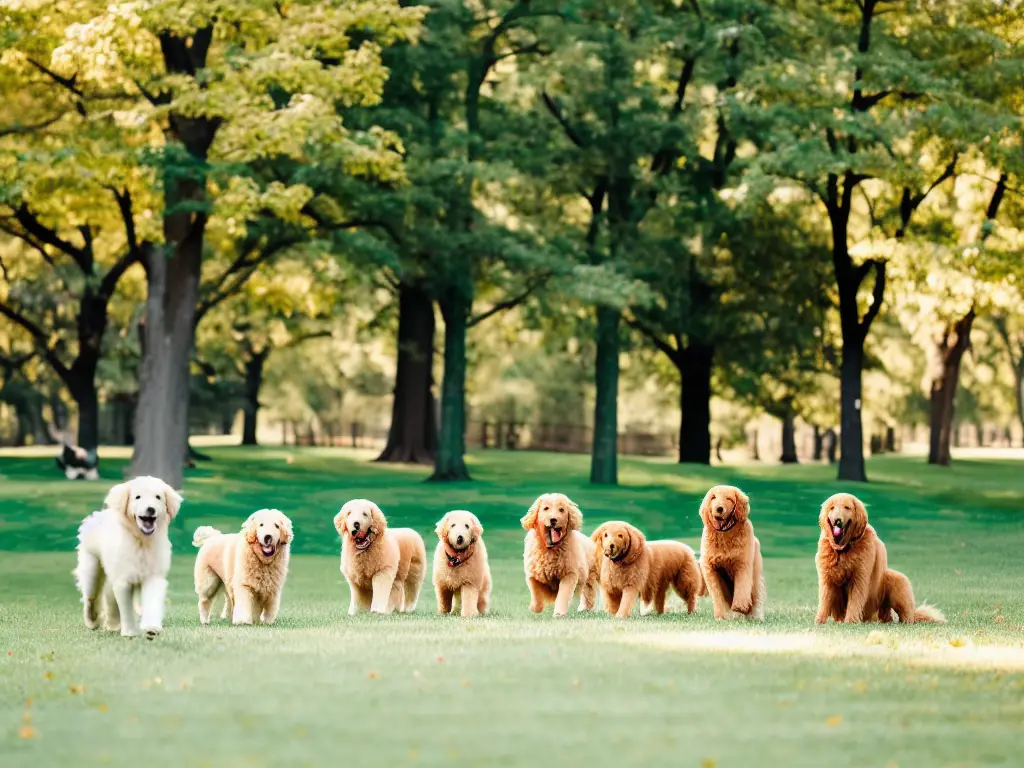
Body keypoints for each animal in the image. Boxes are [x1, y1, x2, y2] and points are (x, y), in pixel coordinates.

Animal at [74, 479, 182, 638]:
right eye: (138, 497)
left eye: (158, 497)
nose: (150, 509)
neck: (141, 541)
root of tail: (97, 515)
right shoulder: (123, 579)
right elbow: (125, 607)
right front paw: (130, 632)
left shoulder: (153, 575)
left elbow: (152, 601)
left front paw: (151, 627)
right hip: (92, 569)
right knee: (91, 597)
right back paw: (93, 620)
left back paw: (113, 624)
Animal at [700, 489, 765, 622]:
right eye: (713, 497)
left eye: (729, 499)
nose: (719, 509)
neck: (724, 533)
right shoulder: (710, 567)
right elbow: (716, 592)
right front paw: (720, 615)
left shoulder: (742, 563)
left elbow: (742, 585)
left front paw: (740, 607)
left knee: (756, 596)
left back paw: (754, 616)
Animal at [815, 493, 942, 626]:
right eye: (832, 508)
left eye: (847, 507)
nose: (837, 521)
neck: (843, 549)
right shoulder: (827, 577)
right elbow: (824, 599)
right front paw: (819, 620)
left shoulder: (859, 577)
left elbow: (855, 600)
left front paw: (851, 621)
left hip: (896, 580)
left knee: (906, 614)